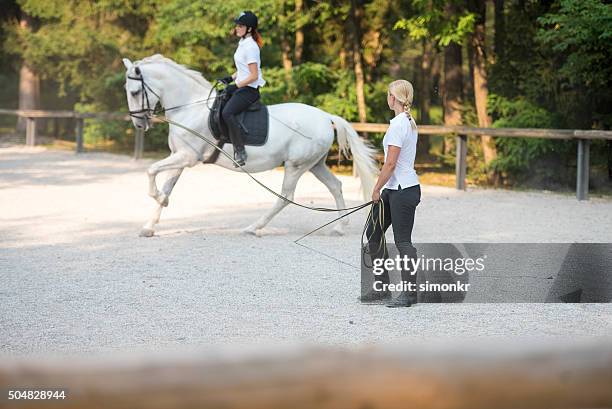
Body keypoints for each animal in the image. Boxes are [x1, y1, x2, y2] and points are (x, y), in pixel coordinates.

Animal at [123, 55, 378, 237]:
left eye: (135, 92)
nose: (138, 123)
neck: (189, 107)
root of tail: (326, 117)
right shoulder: (179, 157)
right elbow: (167, 186)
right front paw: (150, 225)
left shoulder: (187, 157)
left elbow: (150, 171)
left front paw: (157, 199)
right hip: (315, 164)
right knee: (335, 186)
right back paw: (340, 226)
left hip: (296, 165)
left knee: (285, 196)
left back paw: (254, 227)